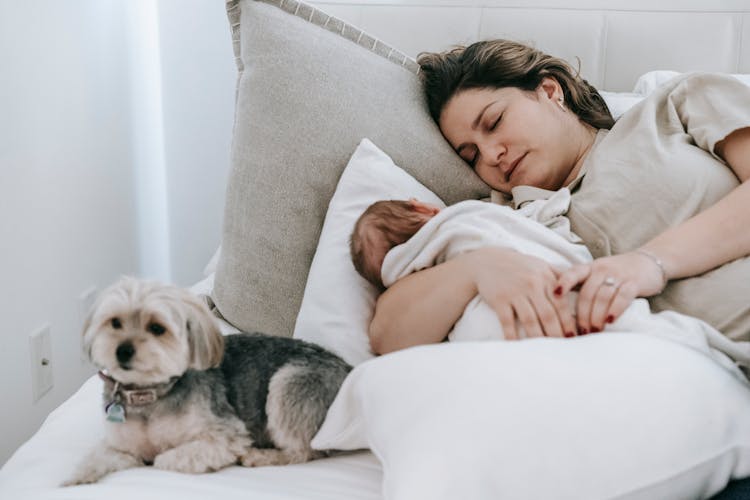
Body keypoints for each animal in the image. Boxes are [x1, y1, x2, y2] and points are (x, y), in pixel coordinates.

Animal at [62, 276, 352, 486]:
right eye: (115, 323)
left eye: (157, 328)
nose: (122, 351)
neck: (150, 395)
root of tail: (348, 368)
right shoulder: (122, 447)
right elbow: (96, 457)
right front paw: (72, 479)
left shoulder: (224, 435)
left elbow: (163, 459)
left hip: (288, 386)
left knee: (305, 450)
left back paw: (260, 456)